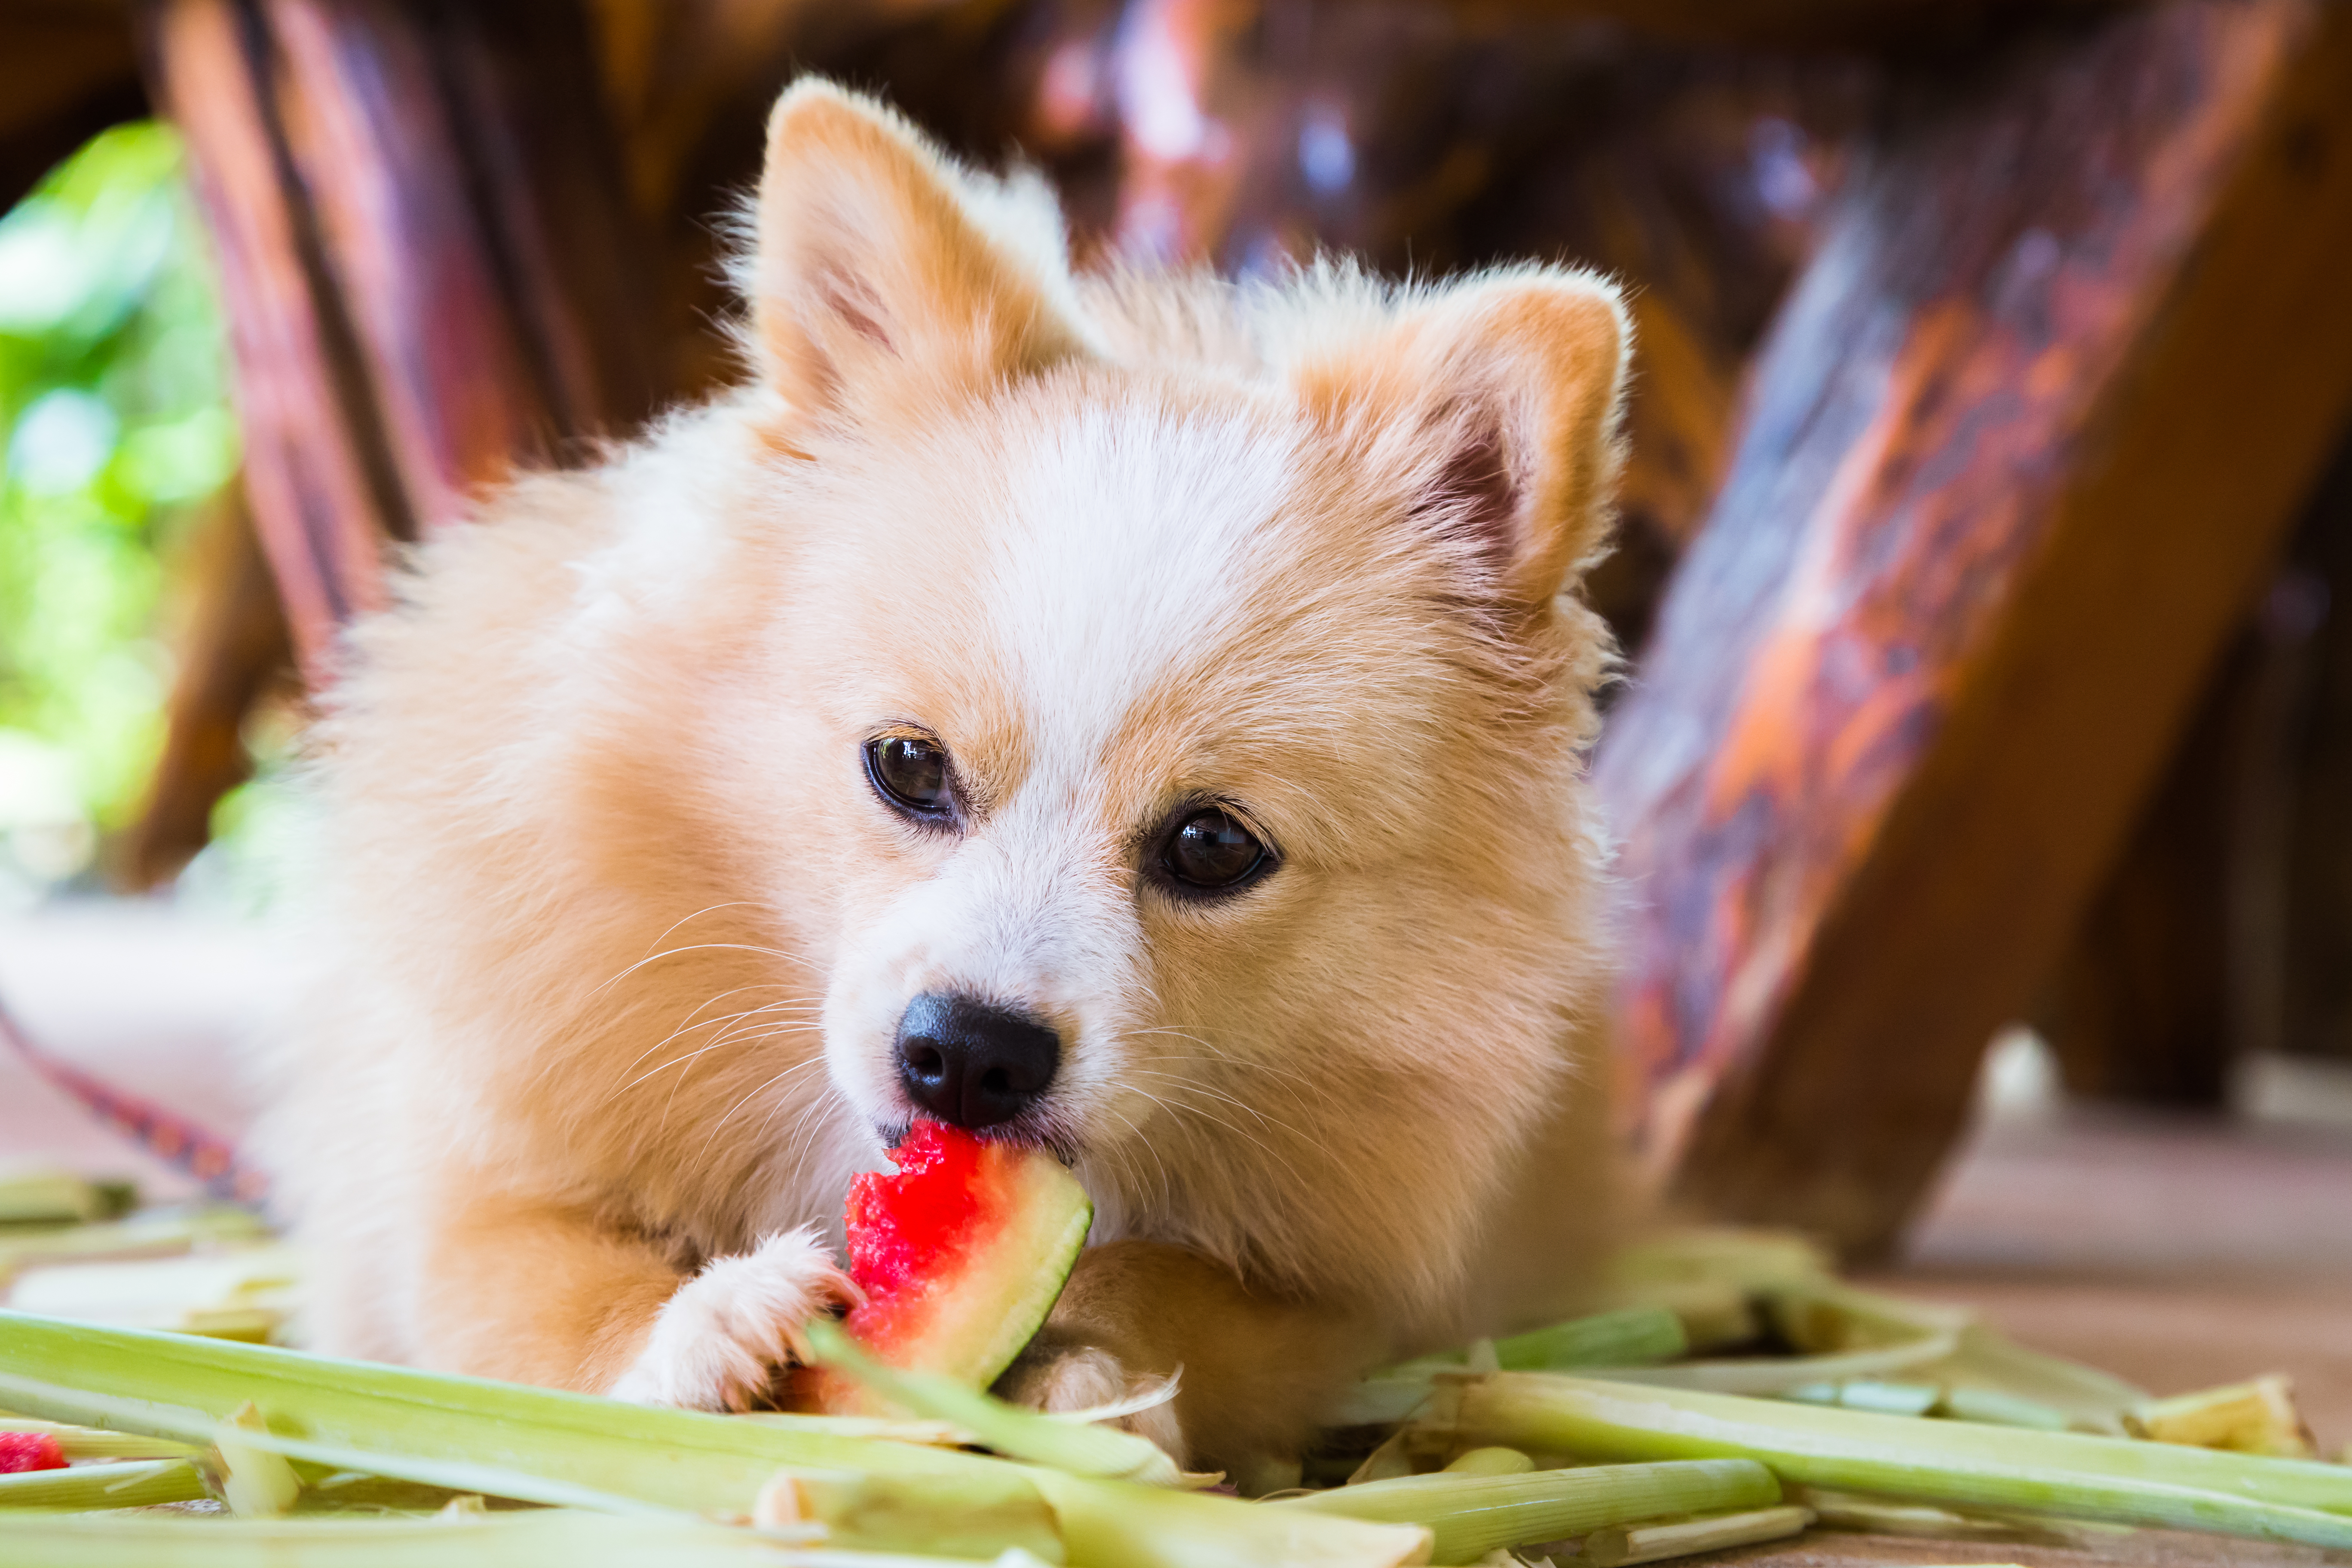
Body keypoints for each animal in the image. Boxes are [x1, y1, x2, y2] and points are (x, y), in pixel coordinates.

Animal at [253, 80, 1618, 1476]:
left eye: (1212, 846)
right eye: (907, 766)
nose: (969, 1052)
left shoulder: (1333, 1299)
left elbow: (1182, 1290)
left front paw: (1091, 1363)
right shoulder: (439, 1191)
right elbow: (533, 1287)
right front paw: (698, 1325)